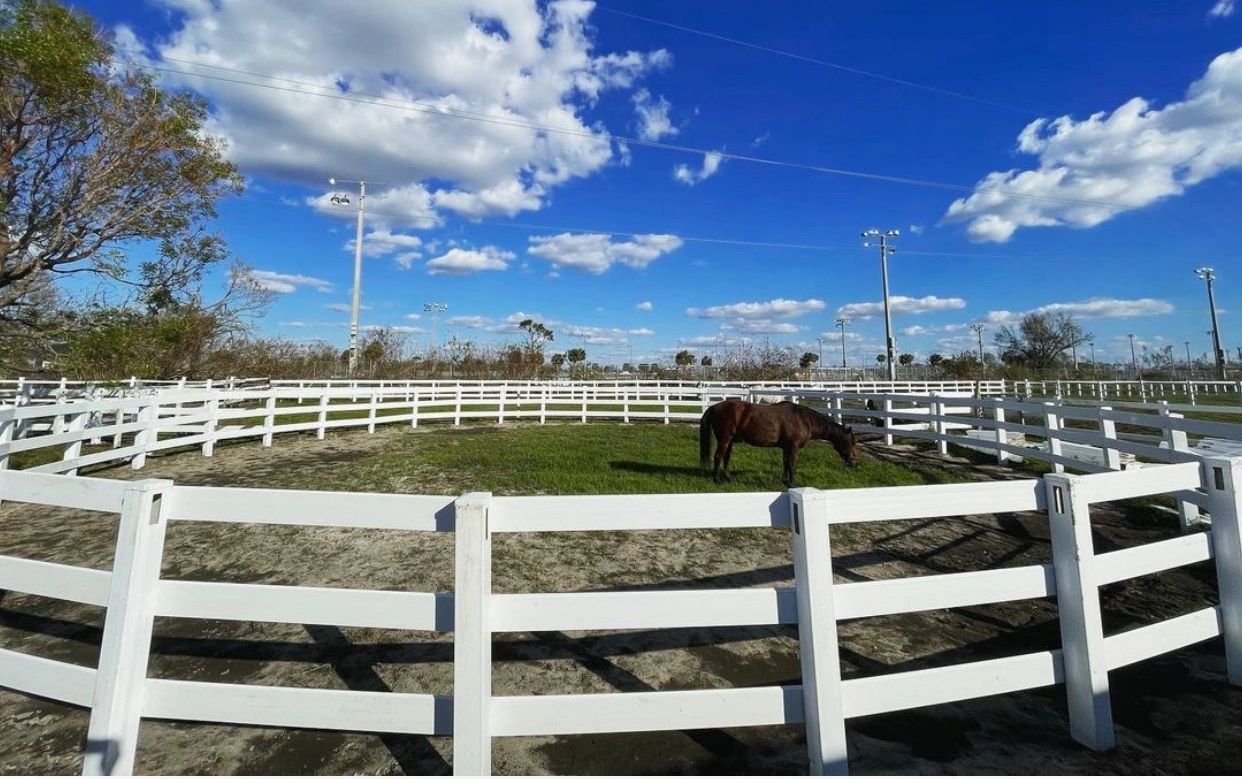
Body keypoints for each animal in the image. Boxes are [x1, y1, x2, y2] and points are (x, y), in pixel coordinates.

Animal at [698, 398, 860, 487]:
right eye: (852, 442)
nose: (855, 463)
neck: (803, 420)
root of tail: (714, 407)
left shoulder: (786, 447)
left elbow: (785, 463)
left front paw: (785, 480)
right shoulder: (793, 447)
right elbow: (792, 464)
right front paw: (792, 484)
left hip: (730, 440)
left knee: (726, 457)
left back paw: (728, 478)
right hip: (725, 439)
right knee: (718, 456)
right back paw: (716, 479)